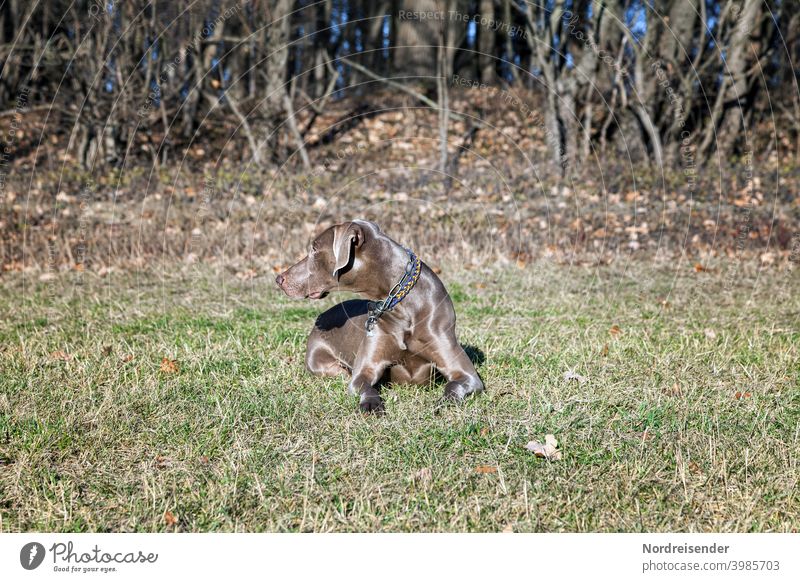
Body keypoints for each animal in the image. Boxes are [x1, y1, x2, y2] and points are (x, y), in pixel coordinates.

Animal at [276, 220, 484, 416]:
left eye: (314, 248)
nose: (279, 279)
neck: (401, 306)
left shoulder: (467, 375)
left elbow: (454, 385)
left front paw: (443, 403)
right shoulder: (364, 371)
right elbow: (366, 386)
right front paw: (371, 405)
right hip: (317, 359)